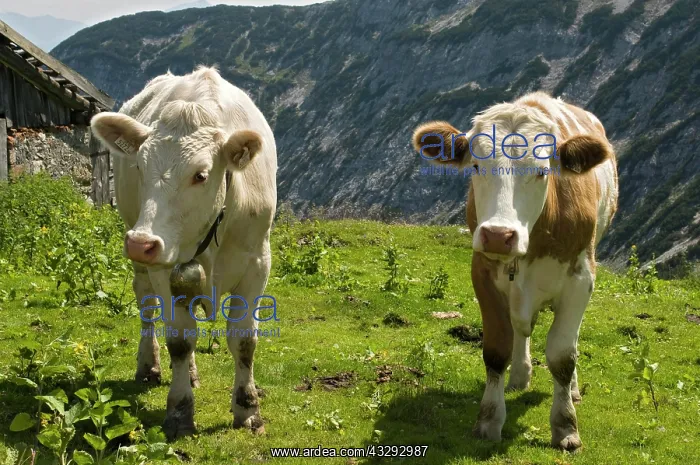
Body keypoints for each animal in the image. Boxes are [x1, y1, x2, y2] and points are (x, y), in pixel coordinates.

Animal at [90, 66, 277, 439]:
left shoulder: (257, 263)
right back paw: (151, 365)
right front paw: (179, 412)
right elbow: (179, 339)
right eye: (139, 168)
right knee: (149, 308)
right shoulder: (164, 266)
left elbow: (244, 341)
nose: (140, 242)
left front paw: (248, 409)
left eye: (201, 175)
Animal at [412, 92, 618, 450]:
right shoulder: (481, 272)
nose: (498, 234)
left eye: (542, 171)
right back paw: (520, 376)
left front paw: (565, 426)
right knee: (522, 327)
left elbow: (562, 355)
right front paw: (489, 420)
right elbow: (496, 350)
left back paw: (572, 390)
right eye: (476, 166)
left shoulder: (581, 278)